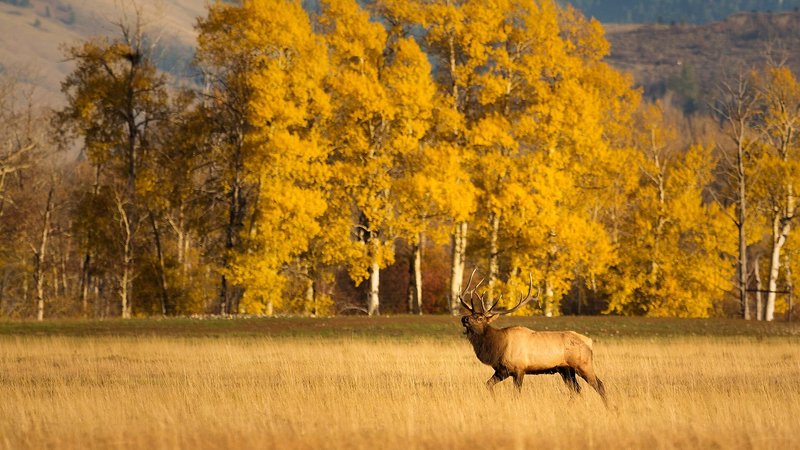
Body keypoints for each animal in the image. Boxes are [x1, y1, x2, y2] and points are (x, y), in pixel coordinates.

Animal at [460, 268, 608, 406]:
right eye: (471, 314)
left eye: (479, 318)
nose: (464, 318)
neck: (497, 347)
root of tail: (589, 342)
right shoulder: (501, 371)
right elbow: (488, 385)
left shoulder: (519, 369)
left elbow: (516, 394)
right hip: (566, 369)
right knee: (577, 389)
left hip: (583, 364)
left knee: (599, 385)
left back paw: (607, 407)